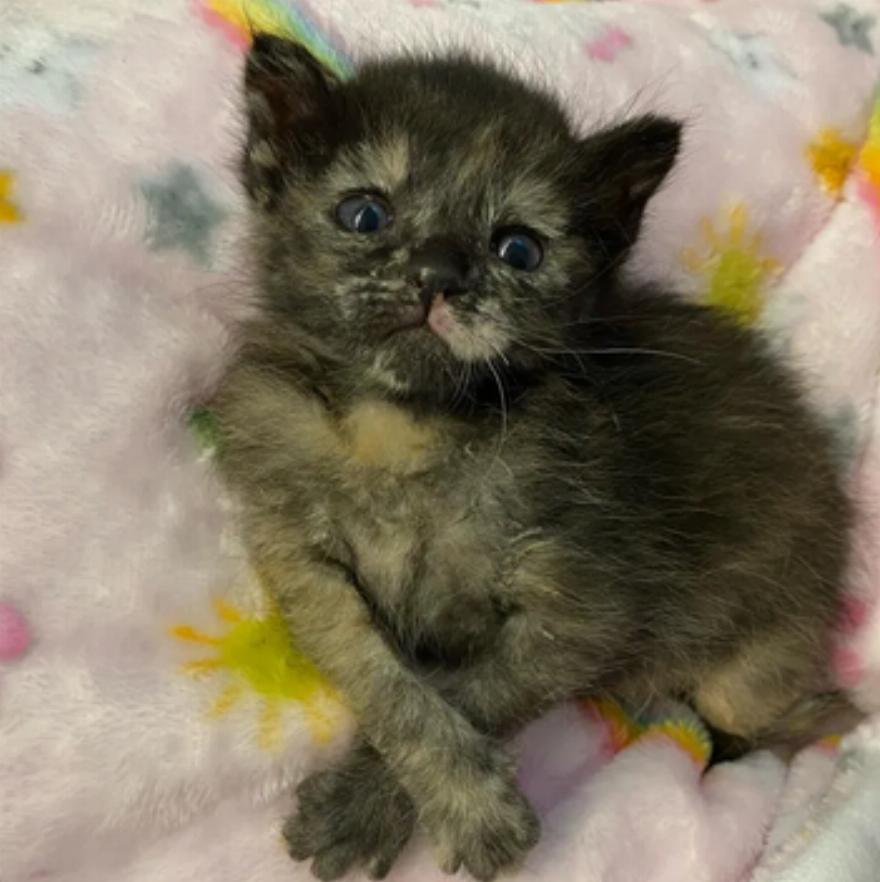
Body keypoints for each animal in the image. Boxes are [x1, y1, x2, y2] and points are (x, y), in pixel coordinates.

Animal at [212, 34, 854, 882]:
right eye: (364, 213)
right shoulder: (297, 557)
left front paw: (403, 810)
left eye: (518, 248)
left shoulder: (586, 606)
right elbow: (382, 679)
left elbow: (476, 689)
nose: (439, 273)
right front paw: (406, 801)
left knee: (782, 720)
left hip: (753, 665)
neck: (409, 428)